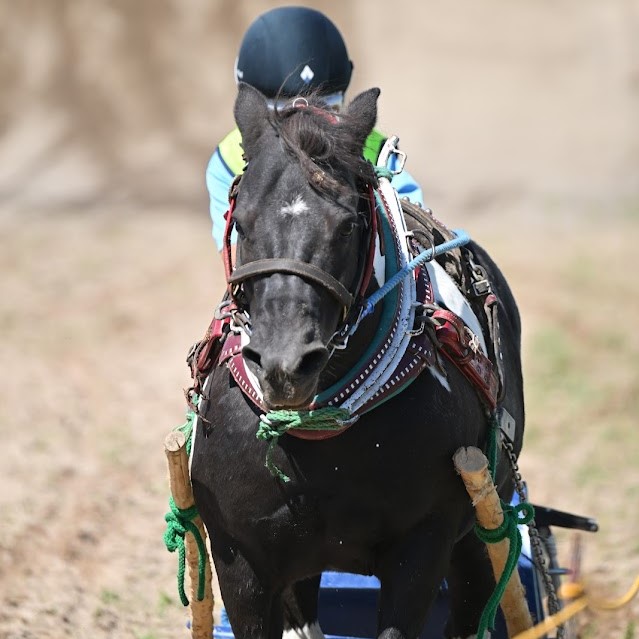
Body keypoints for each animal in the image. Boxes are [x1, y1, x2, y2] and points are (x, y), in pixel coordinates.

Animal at [191, 85, 524, 639]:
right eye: (242, 222)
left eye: (348, 225)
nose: (285, 363)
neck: (320, 441)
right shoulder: (241, 558)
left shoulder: (423, 547)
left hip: (482, 518)